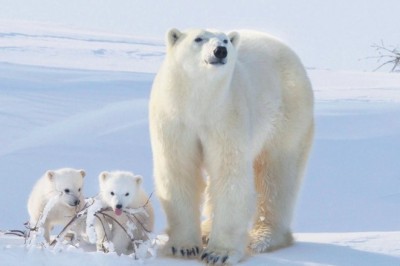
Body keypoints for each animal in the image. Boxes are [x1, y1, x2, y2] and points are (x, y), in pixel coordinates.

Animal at [148, 29, 314, 264]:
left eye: (225, 40)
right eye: (198, 38)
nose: (220, 51)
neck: (199, 103)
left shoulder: (226, 116)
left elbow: (228, 174)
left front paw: (218, 253)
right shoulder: (174, 119)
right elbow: (179, 171)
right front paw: (183, 247)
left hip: (288, 114)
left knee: (277, 175)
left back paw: (264, 236)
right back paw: (206, 231)